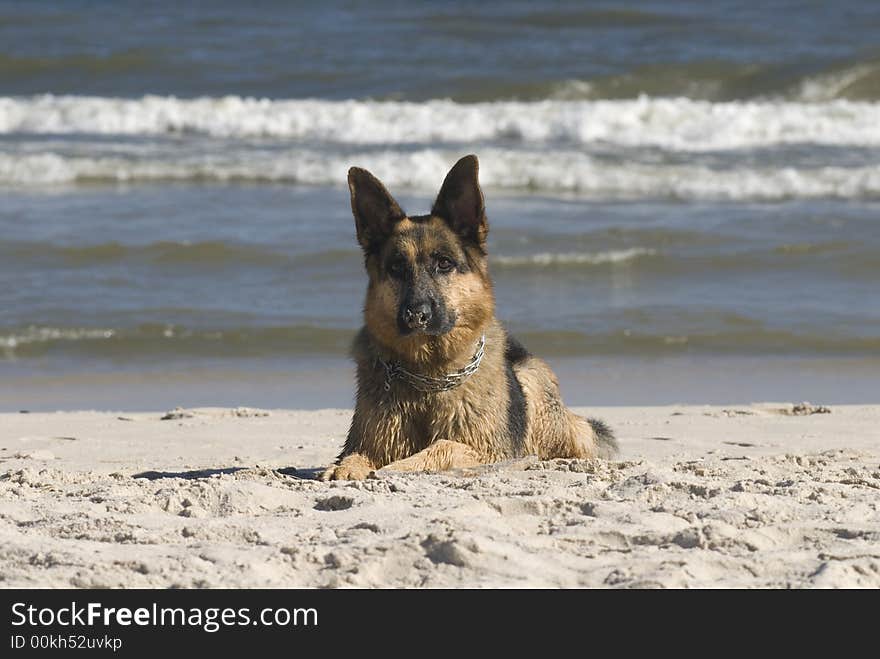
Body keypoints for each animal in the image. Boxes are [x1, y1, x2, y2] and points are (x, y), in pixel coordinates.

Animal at [320, 157, 616, 482]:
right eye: (396, 267)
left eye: (444, 263)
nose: (415, 316)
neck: (429, 378)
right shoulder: (370, 442)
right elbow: (355, 456)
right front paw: (346, 468)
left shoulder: (486, 451)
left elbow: (443, 447)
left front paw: (397, 467)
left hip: (534, 386)